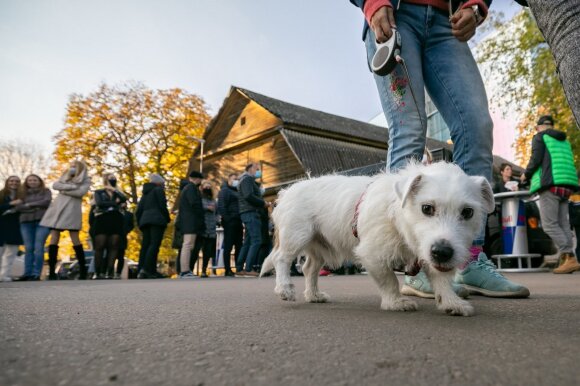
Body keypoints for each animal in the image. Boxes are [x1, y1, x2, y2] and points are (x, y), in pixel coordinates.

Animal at [262, 163, 494, 316]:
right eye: (427, 208)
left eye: (468, 212)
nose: (442, 252)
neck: (397, 214)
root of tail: (286, 192)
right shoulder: (372, 255)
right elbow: (389, 280)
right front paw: (395, 302)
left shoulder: (429, 252)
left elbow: (441, 279)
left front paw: (451, 302)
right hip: (296, 235)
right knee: (281, 259)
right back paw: (284, 288)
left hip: (319, 246)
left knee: (309, 268)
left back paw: (313, 295)